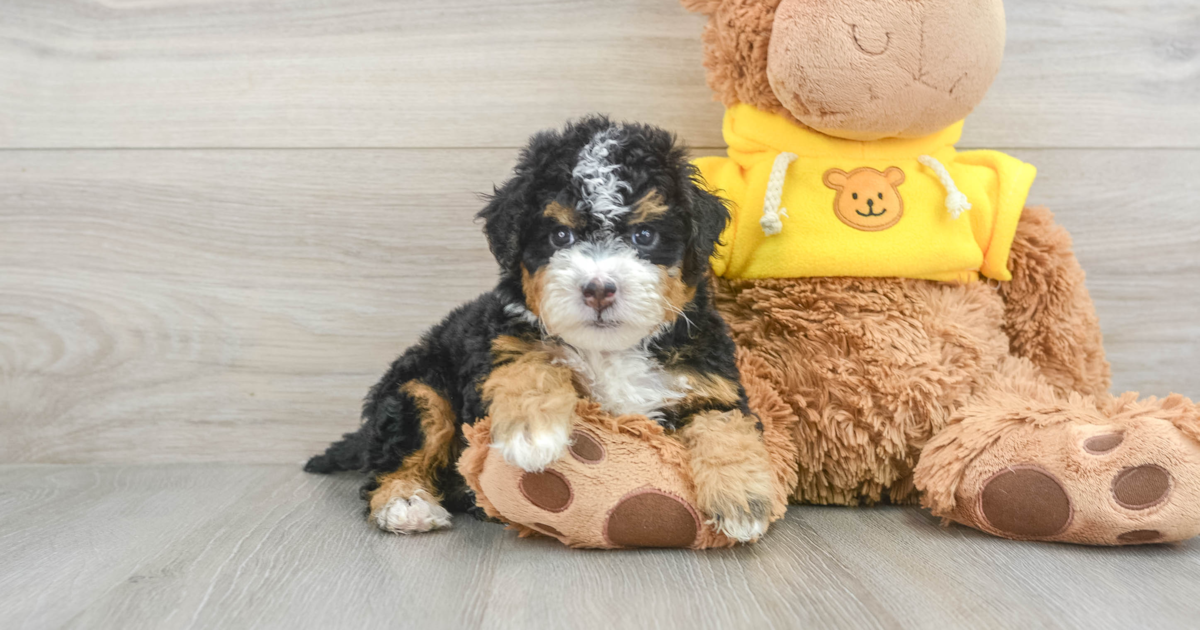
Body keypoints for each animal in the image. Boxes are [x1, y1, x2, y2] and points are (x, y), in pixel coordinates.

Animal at [309, 116, 772, 540]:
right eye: (560, 236)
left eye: (644, 235)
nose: (598, 289)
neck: (609, 351)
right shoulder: (500, 341)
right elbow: (529, 363)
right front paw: (533, 435)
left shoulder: (710, 384)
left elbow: (724, 426)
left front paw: (743, 501)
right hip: (417, 386)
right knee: (403, 448)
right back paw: (406, 504)